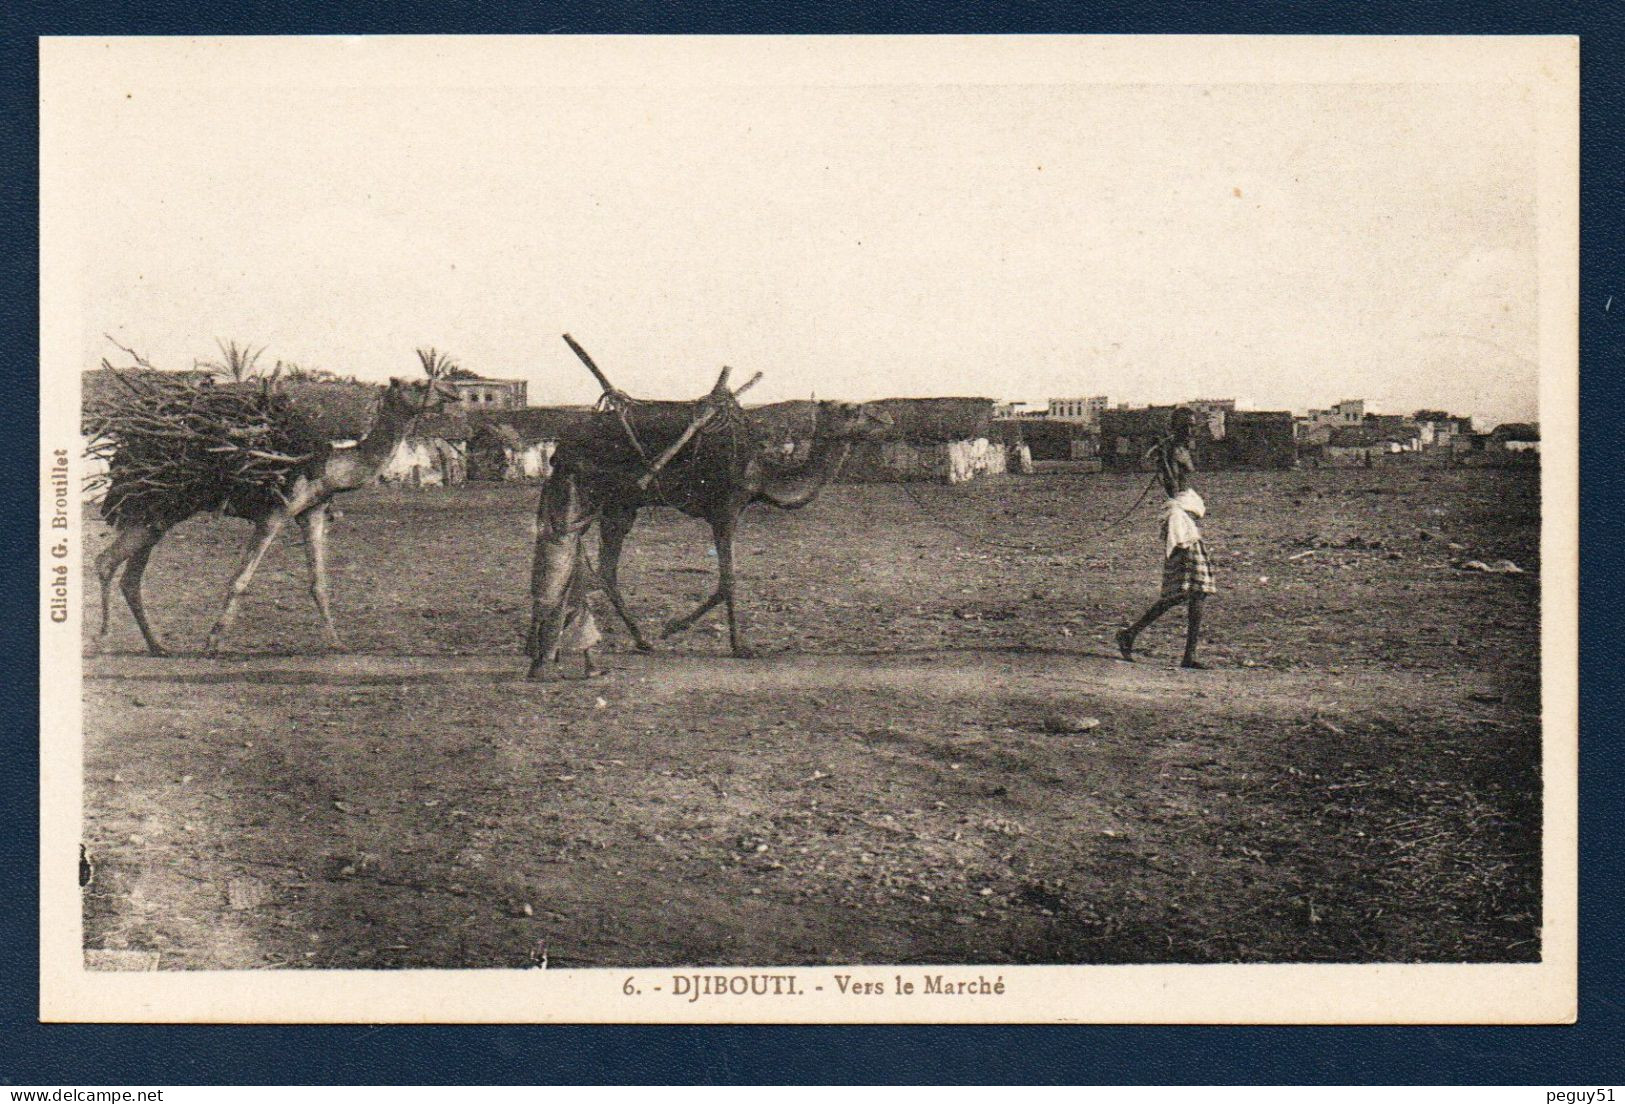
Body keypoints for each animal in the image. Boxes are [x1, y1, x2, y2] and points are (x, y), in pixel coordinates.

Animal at [95, 367, 458, 656]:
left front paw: (338, 643)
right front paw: (213, 642)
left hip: (158, 515)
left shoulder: (312, 512)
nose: (452, 391)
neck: (331, 468)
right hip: (154, 509)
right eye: (416, 382)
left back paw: (157, 646)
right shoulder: (274, 513)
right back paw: (104, 640)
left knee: (130, 576)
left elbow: (319, 583)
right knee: (106, 562)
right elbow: (239, 580)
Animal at [529, 388, 890, 682]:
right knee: (571, 557)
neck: (763, 472)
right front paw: (737, 646)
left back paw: (633, 641)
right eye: (850, 409)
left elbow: (723, 581)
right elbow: (728, 580)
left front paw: (674, 628)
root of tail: (562, 448)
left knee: (600, 568)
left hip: (619, 506)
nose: (885, 417)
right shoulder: (726, 511)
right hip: (593, 494)